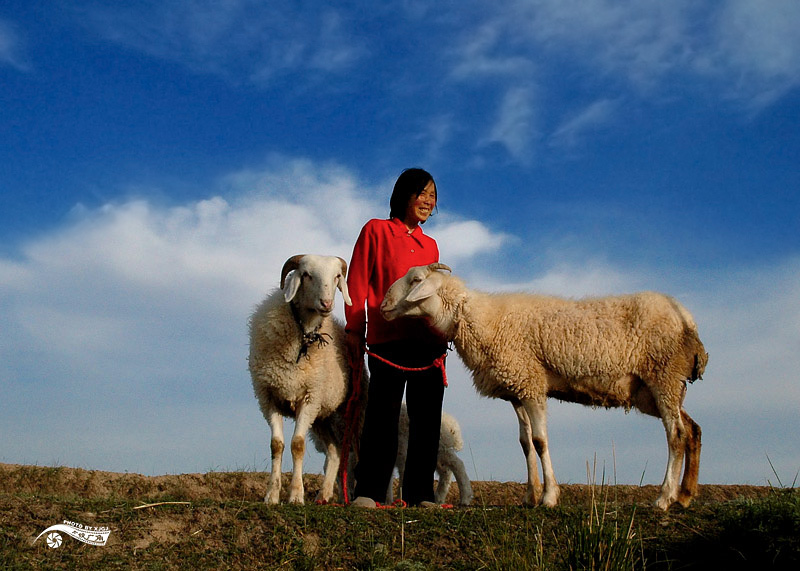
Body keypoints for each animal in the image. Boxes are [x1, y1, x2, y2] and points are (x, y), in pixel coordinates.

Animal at [382, 266, 708, 512]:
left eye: (416, 280)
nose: (383, 306)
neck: (481, 320)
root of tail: (686, 318)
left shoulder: (533, 385)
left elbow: (539, 441)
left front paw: (549, 497)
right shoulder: (517, 389)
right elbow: (525, 443)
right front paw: (530, 496)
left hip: (663, 375)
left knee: (676, 435)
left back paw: (664, 498)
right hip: (655, 391)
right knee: (692, 429)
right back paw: (685, 496)